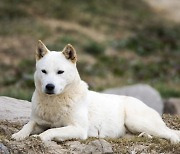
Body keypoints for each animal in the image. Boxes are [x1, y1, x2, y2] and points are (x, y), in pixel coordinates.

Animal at [11, 40, 180, 143]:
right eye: (44, 71)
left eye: (60, 72)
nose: (49, 87)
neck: (54, 103)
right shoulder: (38, 121)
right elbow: (28, 125)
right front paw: (18, 135)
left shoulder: (78, 129)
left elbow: (51, 132)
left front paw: (40, 138)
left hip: (136, 122)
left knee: (171, 133)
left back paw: (174, 140)